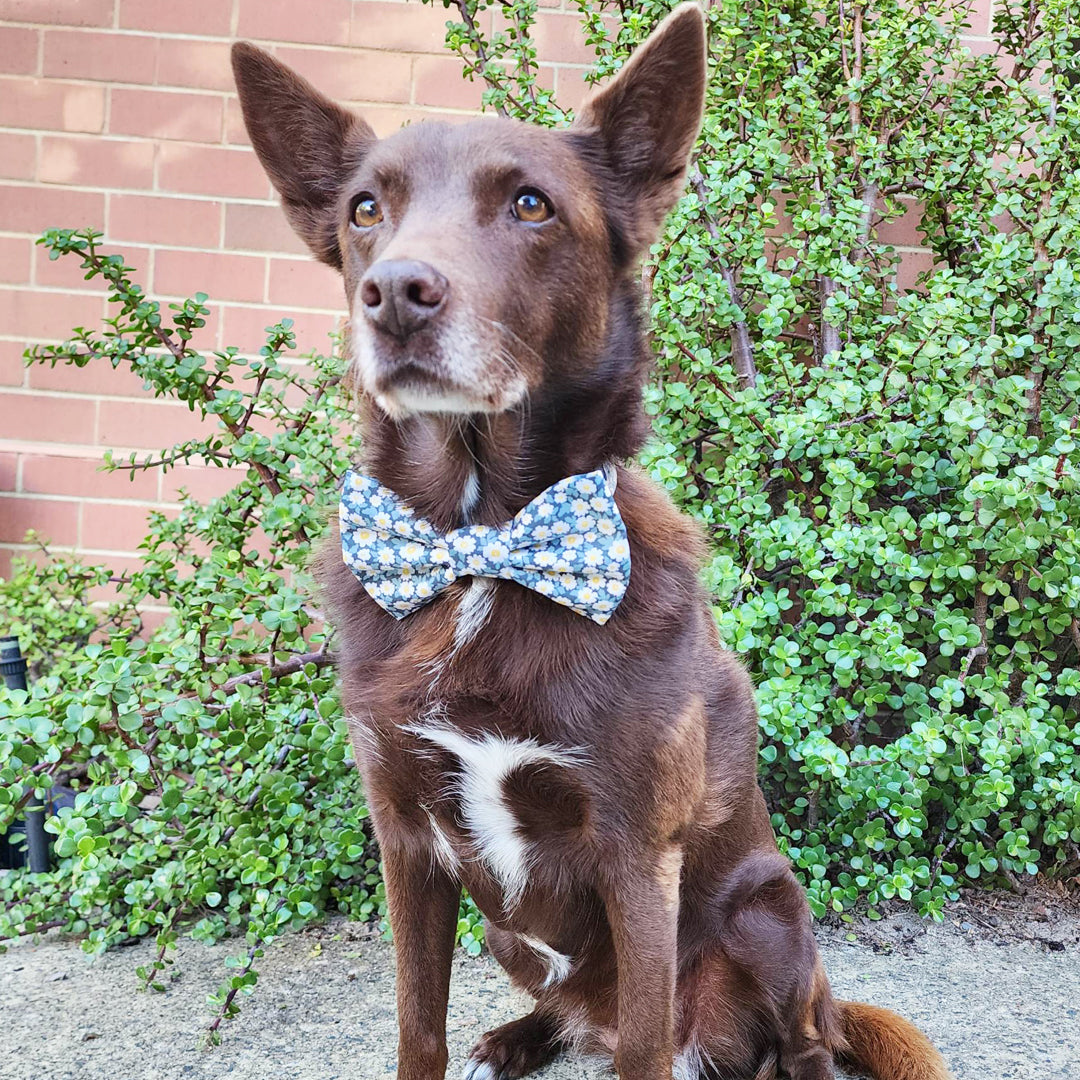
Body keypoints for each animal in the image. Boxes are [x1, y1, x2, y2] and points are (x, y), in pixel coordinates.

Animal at [232, 8, 950, 1080]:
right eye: (365, 210)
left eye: (531, 205)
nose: (396, 294)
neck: (481, 549)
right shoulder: (406, 837)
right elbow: (417, 1026)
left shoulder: (635, 853)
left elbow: (646, 1044)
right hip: (508, 935)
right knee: (567, 1006)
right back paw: (516, 1038)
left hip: (770, 913)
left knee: (798, 1040)